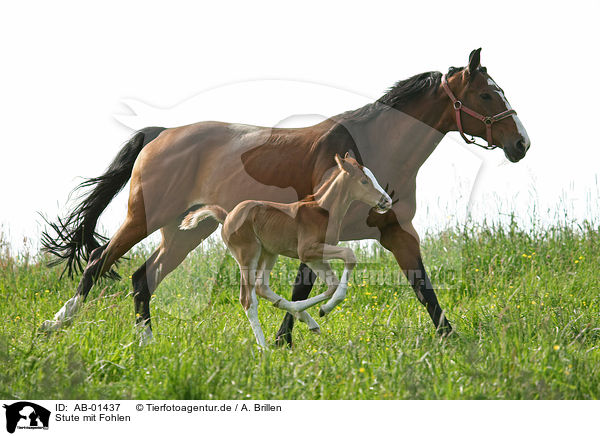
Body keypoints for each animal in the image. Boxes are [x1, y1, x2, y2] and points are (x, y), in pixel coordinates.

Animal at [180, 154, 392, 348]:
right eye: (364, 181)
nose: (387, 201)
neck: (323, 212)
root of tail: (227, 217)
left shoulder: (315, 256)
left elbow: (332, 285)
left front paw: (321, 310)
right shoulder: (307, 250)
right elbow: (349, 255)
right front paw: (309, 309)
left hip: (269, 254)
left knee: (261, 286)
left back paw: (304, 319)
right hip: (247, 254)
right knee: (248, 300)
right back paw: (264, 347)